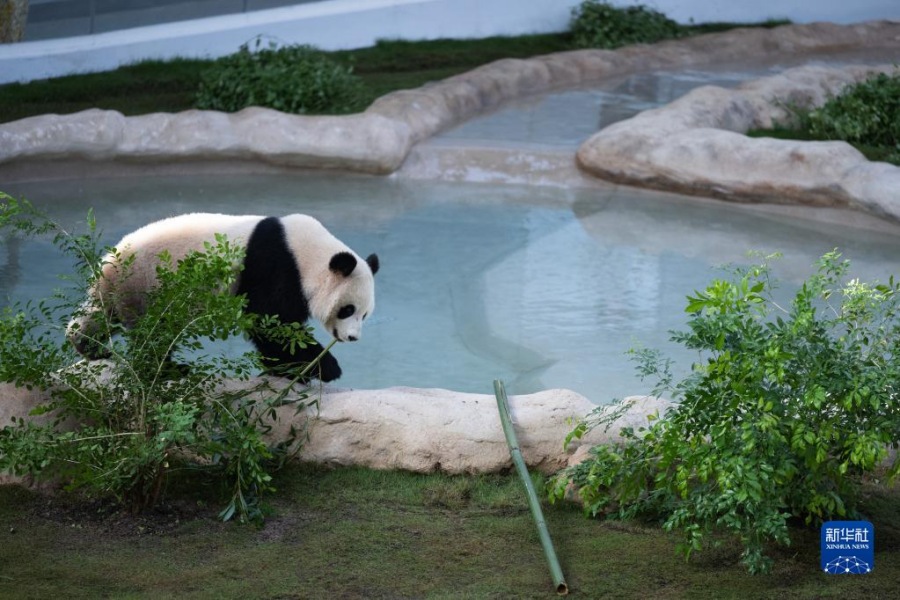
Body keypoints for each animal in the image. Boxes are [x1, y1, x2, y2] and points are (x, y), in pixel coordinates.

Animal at [68, 213, 378, 382]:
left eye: (365, 314)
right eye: (347, 309)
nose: (353, 338)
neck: (306, 252)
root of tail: (109, 263)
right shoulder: (275, 267)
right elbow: (271, 322)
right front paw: (321, 367)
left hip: (125, 292)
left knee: (101, 316)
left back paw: (89, 346)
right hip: (148, 286)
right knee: (155, 333)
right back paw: (169, 369)